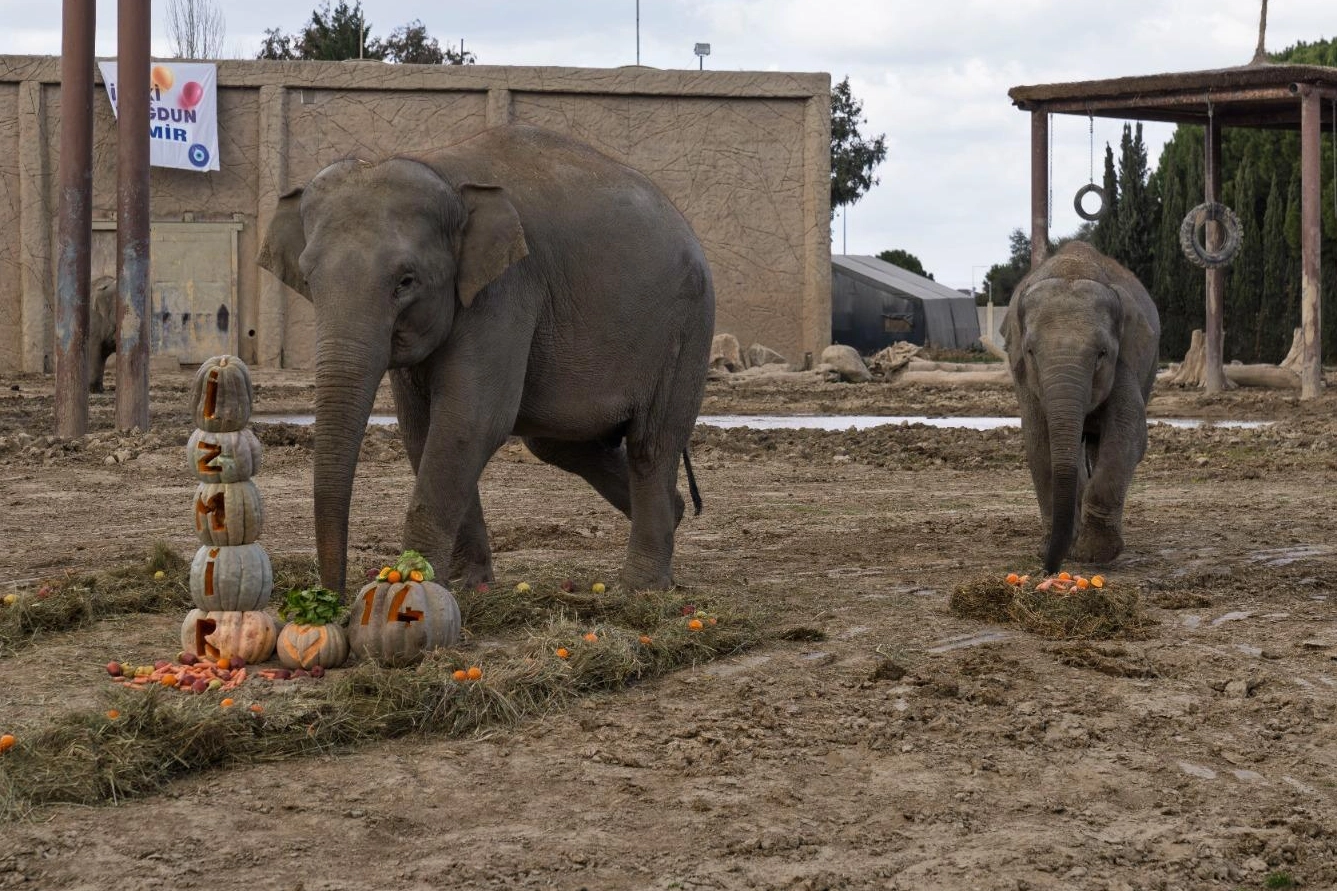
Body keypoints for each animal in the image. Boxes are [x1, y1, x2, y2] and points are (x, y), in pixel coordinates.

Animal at [263, 125, 721, 594]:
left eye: (406, 281)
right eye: (308, 279)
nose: (330, 598)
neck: (441, 171)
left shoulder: (506, 289)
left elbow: (469, 422)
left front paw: (415, 583)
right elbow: (422, 429)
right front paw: (466, 585)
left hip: (686, 327)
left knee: (652, 443)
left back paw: (640, 587)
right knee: (560, 444)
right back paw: (676, 513)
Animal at [1005, 239, 1160, 572]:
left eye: (1102, 353)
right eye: (1031, 351)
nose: (1048, 569)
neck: (1072, 269)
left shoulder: (1125, 358)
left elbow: (1129, 433)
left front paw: (1093, 554)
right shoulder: (1023, 374)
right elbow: (1037, 440)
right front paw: (1055, 547)